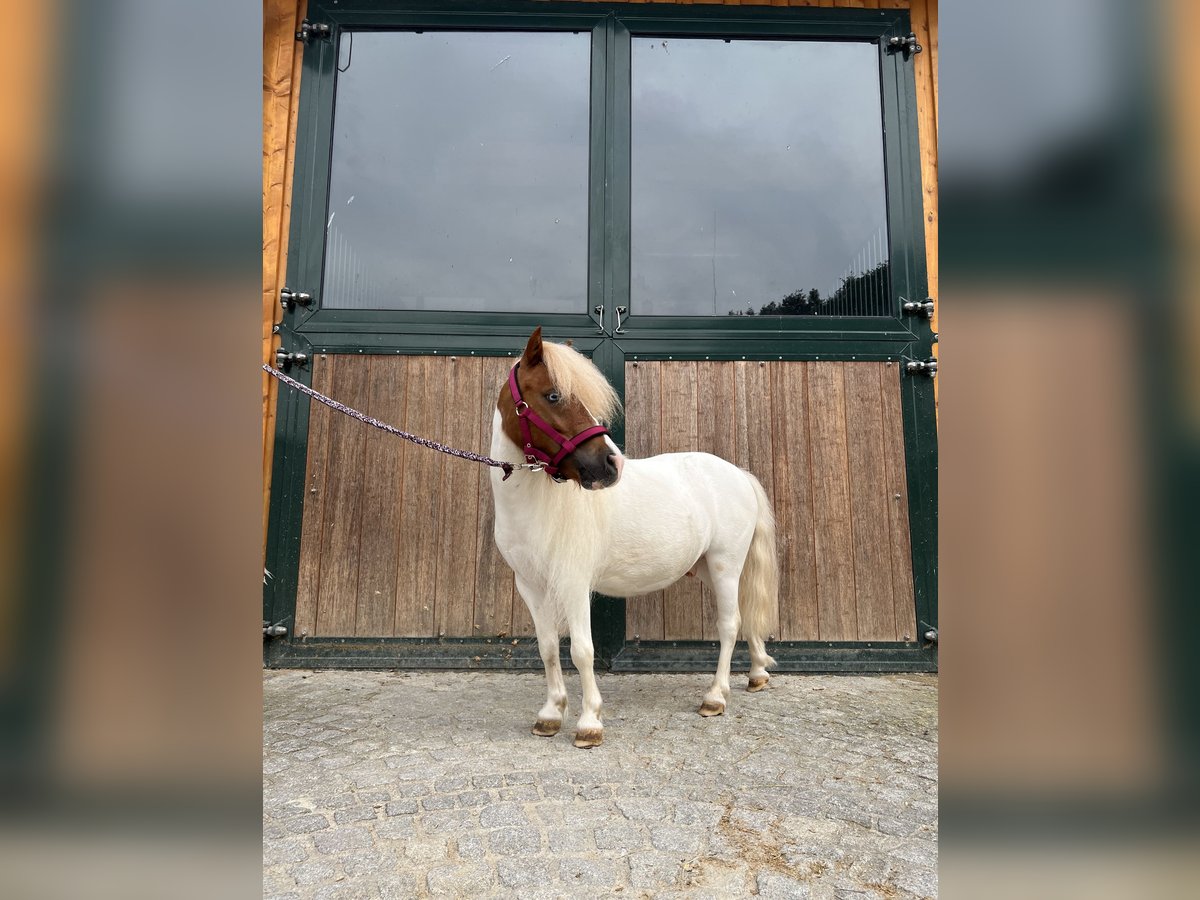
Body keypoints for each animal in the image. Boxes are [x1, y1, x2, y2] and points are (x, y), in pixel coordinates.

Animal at [492, 328, 782, 748]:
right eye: (553, 395)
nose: (610, 465)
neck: (538, 506)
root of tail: (739, 474)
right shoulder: (531, 585)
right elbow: (547, 648)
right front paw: (550, 715)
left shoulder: (574, 583)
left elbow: (582, 651)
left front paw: (589, 723)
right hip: (708, 566)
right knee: (744, 615)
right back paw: (758, 673)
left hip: (725, 565)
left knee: (730, 624)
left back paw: (715, 697)